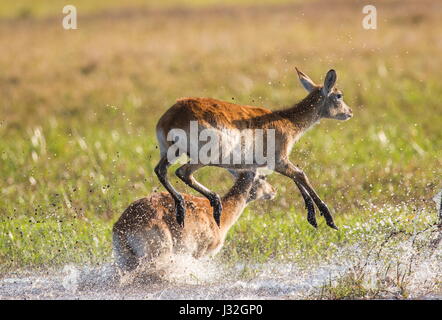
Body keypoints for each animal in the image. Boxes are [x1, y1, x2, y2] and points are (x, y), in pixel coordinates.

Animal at [155, 67, 352, 229]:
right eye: (339, 95)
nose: (349, 112)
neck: (287, 120)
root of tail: (173, 116)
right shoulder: (279, 161)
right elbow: (300, 174)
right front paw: (328, 219)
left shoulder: (274, 163)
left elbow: (296, 177)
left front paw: (312, 217)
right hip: (206, 156)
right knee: (183, 172)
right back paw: (216, 205)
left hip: (170, 153)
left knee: (160, 170)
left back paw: (182, 209)